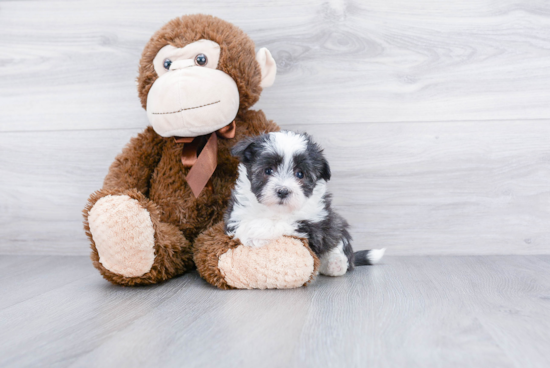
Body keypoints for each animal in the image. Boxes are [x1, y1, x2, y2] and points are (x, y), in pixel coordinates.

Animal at [226, 130, 386, 276]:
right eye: (268, 170)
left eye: (300, 174)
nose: (283, 191)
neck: (277, 211)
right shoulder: (236, 214)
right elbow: (244, 224)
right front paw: (251, 233)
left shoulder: (313, 224)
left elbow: (284, 225)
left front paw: (256, 235)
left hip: (335, 223)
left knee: (339, 241)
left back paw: (336, 263)